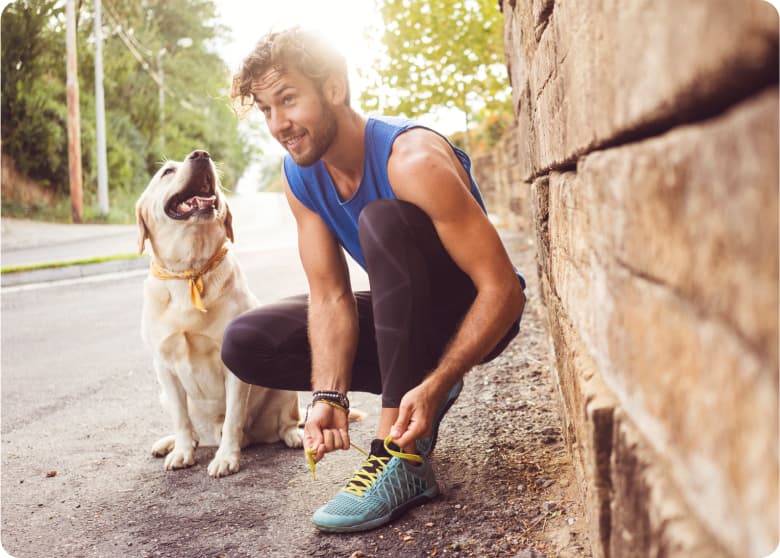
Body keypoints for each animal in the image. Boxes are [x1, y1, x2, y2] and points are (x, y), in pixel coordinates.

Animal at [137, 151, 302, 480]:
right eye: (167, 172)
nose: (201, 155)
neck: (190, 270)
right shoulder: (164, 367)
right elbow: (181, 419)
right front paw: (182, 452)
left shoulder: (233, 369)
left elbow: (233, 418)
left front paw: (226, 458)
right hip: (164, 394)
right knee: (192, 429)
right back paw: (170, 443)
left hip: (284, 387)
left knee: (286, 422)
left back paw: (295, 436)